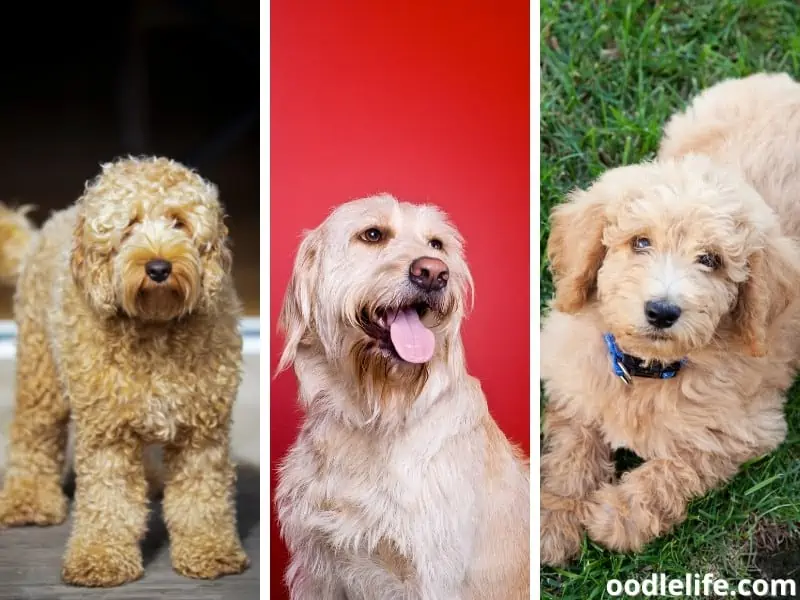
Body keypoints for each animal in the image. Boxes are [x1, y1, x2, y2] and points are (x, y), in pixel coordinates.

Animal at [0, 155, 247, 584]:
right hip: (41, 369)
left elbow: (202, 496)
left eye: (179, 222)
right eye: (129, 225)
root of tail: (55, 219)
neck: (155, 326)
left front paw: (210, 550)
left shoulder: (203, 432)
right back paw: (28, 501)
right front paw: (101, 558)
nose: (159, 267)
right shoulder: (106, 434)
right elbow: (108, 500)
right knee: (34, 433)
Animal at [276, 196, 532, 600]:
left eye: (437, 245)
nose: (434, 273)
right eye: (373, 235)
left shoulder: (432, 575)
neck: (375, 413)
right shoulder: (318, 569)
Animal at [540, 72, 800, 564]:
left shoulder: (745, 427)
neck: (644, 371)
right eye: (640, 242)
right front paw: (554, 518)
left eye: (711, 260)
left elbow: (676, 466)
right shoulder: (571, 381)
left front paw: (617, 516)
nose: (662, 311)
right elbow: (570, 447)